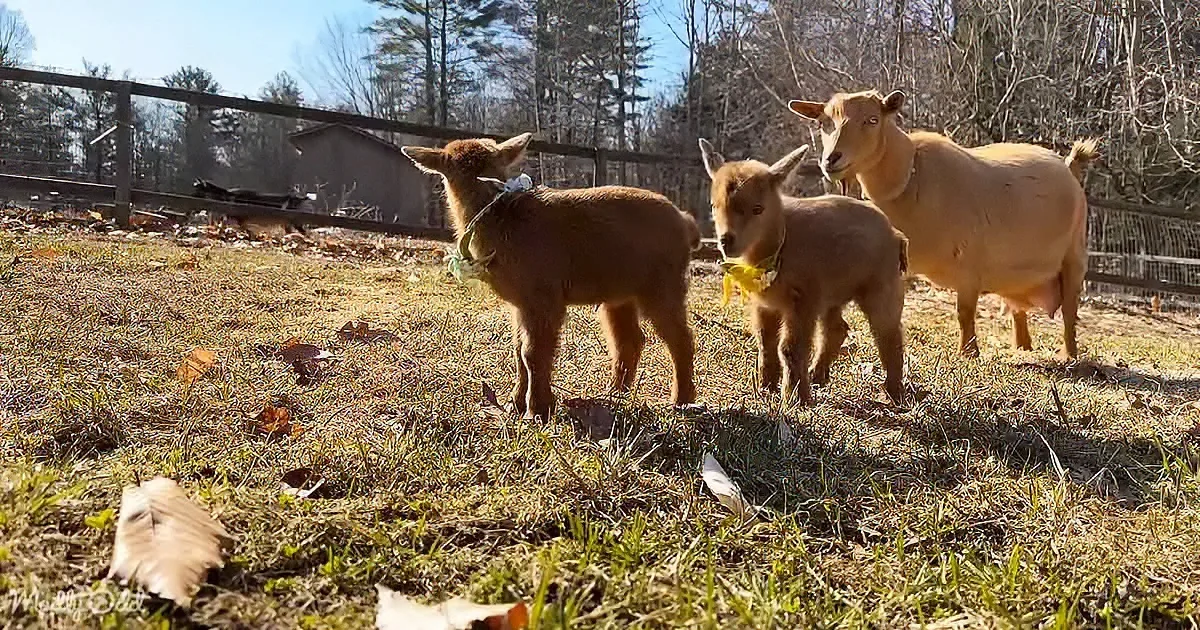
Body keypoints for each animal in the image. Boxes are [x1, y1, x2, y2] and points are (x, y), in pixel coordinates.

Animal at [402, 133, 701, 419]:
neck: (502, 217)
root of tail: (685, 220)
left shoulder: (545, 295)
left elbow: (533, 353)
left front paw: (538, 410)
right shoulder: (521, 303)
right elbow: (518, 350)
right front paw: (515, 404)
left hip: (663, 285)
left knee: (681, 339)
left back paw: (681, 401)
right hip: (620, 294)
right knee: (630, 341)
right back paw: (614, 395)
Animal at [699, 138, 908, 406]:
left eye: (758, 209)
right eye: (714, 205)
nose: (726, 241)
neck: (782, 241)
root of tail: (896, 235)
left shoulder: (804, 301)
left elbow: (790, 348)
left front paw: (796, 399)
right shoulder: (767, 304)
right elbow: (766, 343)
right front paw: (766, 387)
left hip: (881, 287)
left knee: (888, 335)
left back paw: (894, 393)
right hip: (833, 294)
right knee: (836, 329)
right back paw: (818, 376)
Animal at [788, 90, 1098, 358]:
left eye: (872, 120)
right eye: (823, 123)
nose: (831, 159)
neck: (911, 176)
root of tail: (1069, 166)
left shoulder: (970, 264)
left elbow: (965, 312)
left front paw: (968, 353)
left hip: (1074, 256)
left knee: (1070, 311)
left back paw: (1069, 355)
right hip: (1014, 274)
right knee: (1017, 310)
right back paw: (1021, 347)